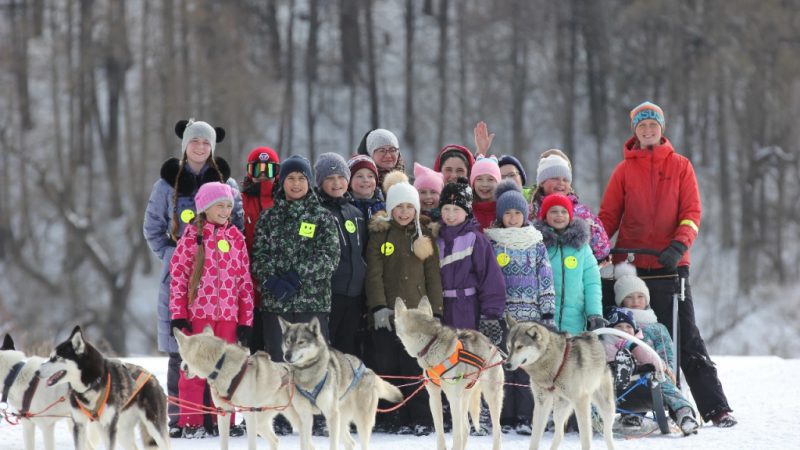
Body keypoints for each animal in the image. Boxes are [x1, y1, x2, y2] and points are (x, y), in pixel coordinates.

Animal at [37, 326, 170, 450]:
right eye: (50, 357)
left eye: (56, 358)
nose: (37, 372)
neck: (91, 384)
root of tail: (153, 378)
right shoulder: (79, 425)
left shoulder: (109, 427)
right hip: (120, 431)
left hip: (154, 427)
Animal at [175, 326, 304, 450]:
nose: (181, 366)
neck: (220, 365)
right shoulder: (223, 412)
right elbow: (223, 443)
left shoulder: (249, 414)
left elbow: (251, 446)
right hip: (260, 421)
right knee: (275, 440)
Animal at [278, 316, 404, 450]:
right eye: (288, 342)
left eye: (301, 342)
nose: (287, 355)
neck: (307, 376)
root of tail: (368, 370)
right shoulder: (304, 416)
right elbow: (305, 443)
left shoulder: (331, 415)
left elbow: (333, 445)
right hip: (341, 419)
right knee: (351, 443)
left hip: (360, 420)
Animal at [392, 298, 504, 450]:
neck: (430, 343)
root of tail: (491, 343)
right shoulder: (434, 396)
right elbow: (440, 432)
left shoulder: (453, 398)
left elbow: (457, 434)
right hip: (465, 396)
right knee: (466, 428)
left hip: (491, 396)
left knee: (496, 430)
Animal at [504, 320, 616, 450]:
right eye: (508, 346)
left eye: (519, 346)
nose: (507, 364)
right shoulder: (541, 402)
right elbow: (535, 437)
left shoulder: (581, 401)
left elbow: (585, 438)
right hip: (559, 410)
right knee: (560, 433)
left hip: (606, 407)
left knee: (607, 433)